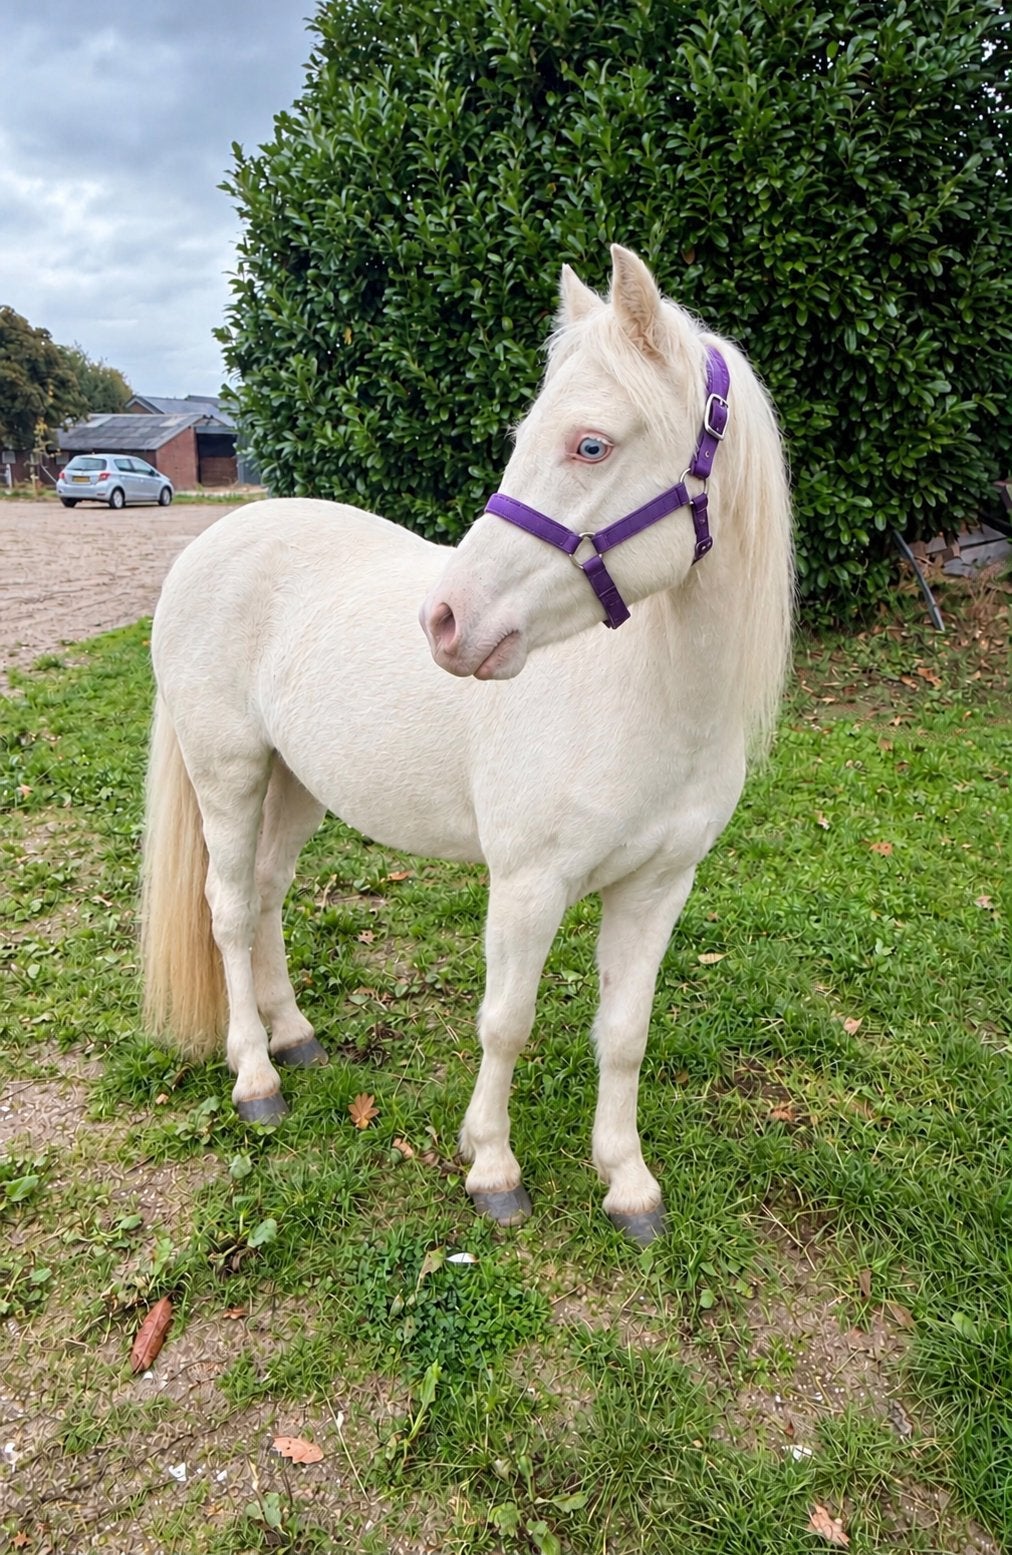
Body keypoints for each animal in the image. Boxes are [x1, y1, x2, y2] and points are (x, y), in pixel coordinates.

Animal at [141, 245, 792, 1245]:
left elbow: (626, 1032)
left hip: (297, 784)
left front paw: (628, 1183)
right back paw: (256, 1075)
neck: (650, 696)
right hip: (230, 772)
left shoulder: (658, 887)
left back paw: (296, 1035)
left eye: (591, 444)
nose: (445, 621)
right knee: (229, 910)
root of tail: (212, 540)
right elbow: (506, 1021)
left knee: (268, 894)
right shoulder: (528, 885)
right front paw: (492, 1167)